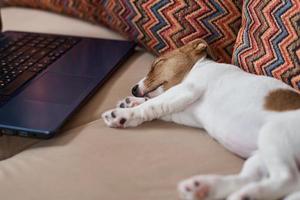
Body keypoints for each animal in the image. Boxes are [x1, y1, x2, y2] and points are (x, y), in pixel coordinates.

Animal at [101, 39, 300, 200]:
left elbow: (151, 105)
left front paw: (123, 115)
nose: (134, 89)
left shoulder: (186, 89)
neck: (198, 68)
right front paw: (130, 103)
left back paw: (246, 194)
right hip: (259, 155)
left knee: (288, 178)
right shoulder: (179, 109)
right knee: (249, 178)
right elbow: (154, 105)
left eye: (157, 64)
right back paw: (205, 187)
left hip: (274, 134)